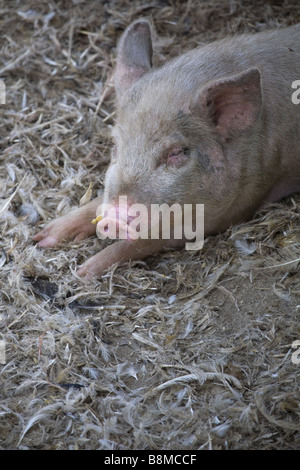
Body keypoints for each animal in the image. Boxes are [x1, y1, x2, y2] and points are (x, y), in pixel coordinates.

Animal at [32, 20, 300, 278]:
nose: (115, 216)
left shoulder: (237, 205)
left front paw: (83, 272)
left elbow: (147, 240)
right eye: (116, 145)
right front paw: (42, 238)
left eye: (176, 153)